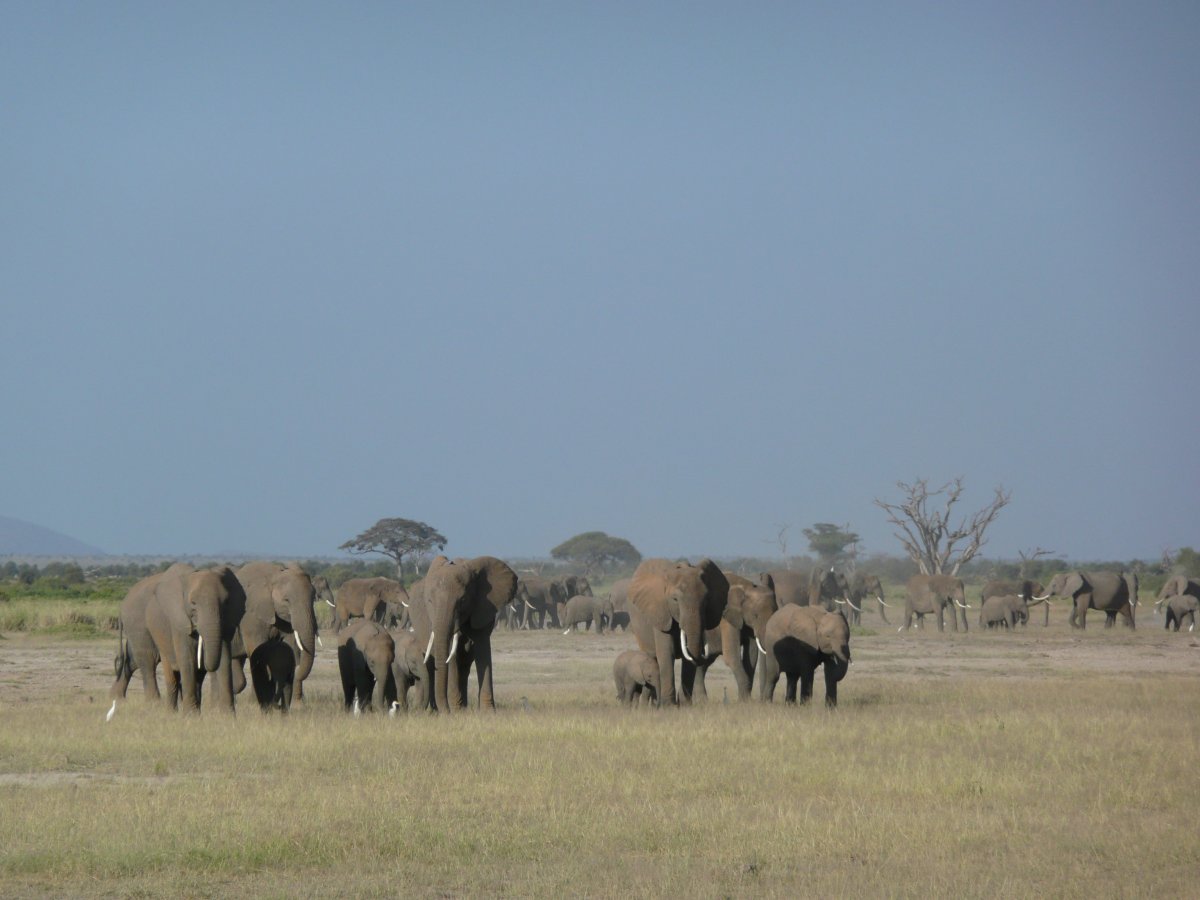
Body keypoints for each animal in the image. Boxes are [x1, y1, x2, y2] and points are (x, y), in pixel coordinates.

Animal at [417, 554, 516, 715]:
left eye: (462, 600)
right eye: (430, 601)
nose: (446, 712)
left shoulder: (483, 608)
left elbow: (482, 650)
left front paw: (488, 713)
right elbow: (451, 656)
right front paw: (457, 712)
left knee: (464, 667)